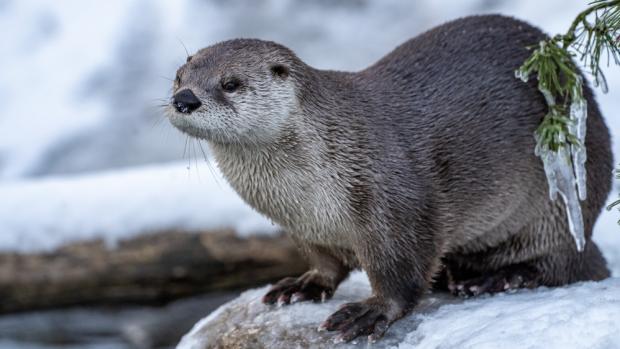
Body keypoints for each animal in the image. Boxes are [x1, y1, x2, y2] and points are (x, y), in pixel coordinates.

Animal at [167, 14, 612, 342]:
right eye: (179, 75)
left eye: (231, 83)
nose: (184, 99)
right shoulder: (305, 227)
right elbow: (325, 263)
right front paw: (301, 285)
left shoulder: (394, 197)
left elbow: (403, 267)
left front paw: (371, 311)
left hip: (563, 200)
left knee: (562, 263)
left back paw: (495, 278)